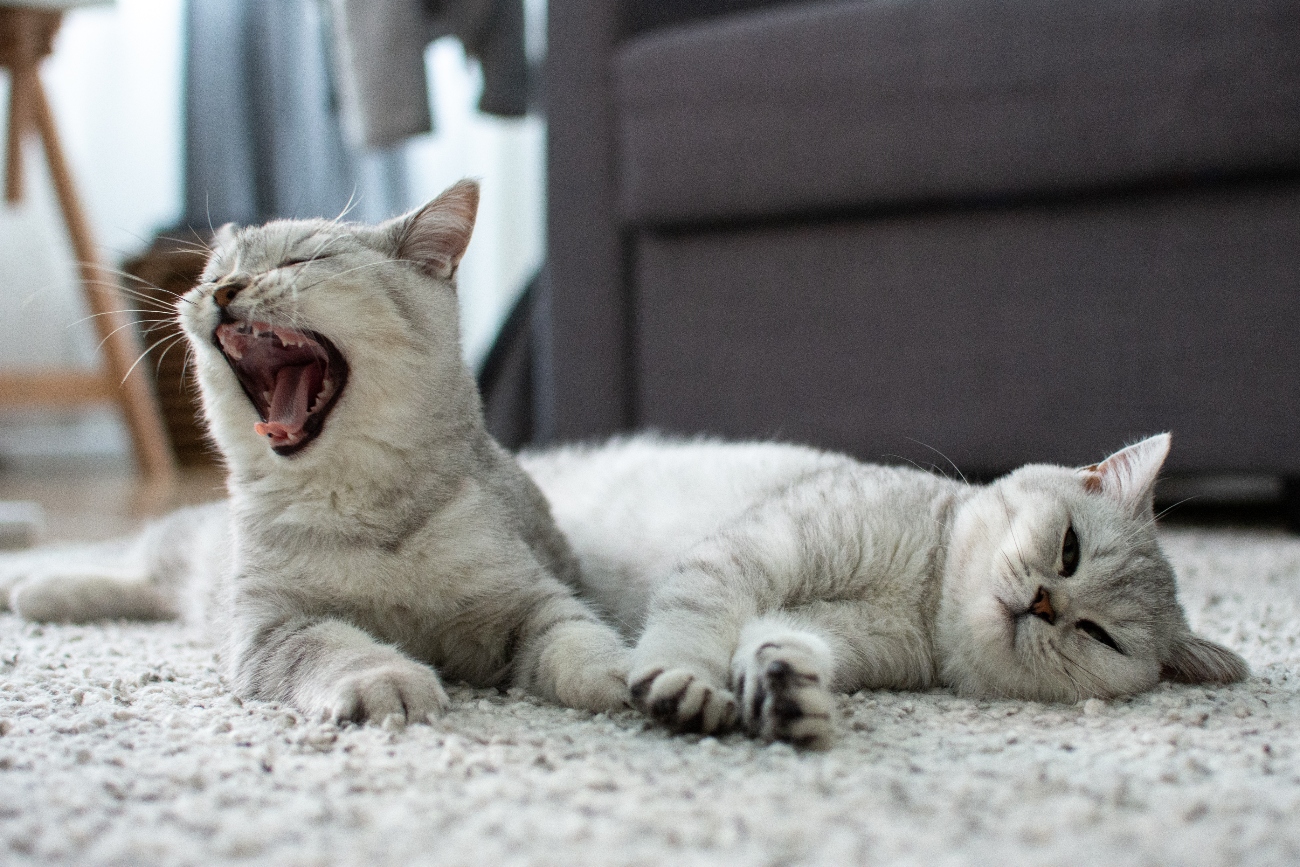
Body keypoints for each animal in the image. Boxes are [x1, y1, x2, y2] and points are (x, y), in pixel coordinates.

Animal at [0, 179, 629, 722]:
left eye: (300, 262)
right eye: (214, 276)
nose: (224, 291)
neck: (356, 503)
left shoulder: (529, 598)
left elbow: (577, 636)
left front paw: (623, 674)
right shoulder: (272, 624)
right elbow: (337, 646)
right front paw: (388, 679)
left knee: (147, 587)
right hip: (188, 549)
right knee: (125, 557)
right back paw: (28, 583)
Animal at [517, 434, 1248, 748]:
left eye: (1099, 635)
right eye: (1069, 550)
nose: (1046, 603)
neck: (920, 596)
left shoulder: (825, 628)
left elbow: (778, 640)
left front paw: (786, 692)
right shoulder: (749, 553)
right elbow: (691, 623)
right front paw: (685, 681)